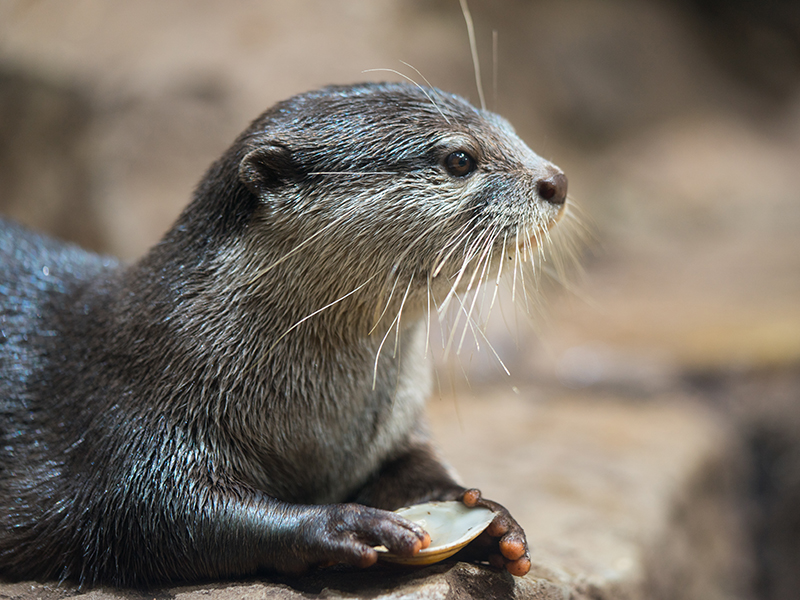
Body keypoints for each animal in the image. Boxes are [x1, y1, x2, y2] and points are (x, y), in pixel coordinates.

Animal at [0, 82, 567, 588]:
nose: (556, 180)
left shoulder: (395, 427)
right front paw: (344, 523)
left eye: (510, 128)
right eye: (459, 159)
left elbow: (417, 465)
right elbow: (153, 512)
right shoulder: (130, 417)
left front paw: (490, 517)